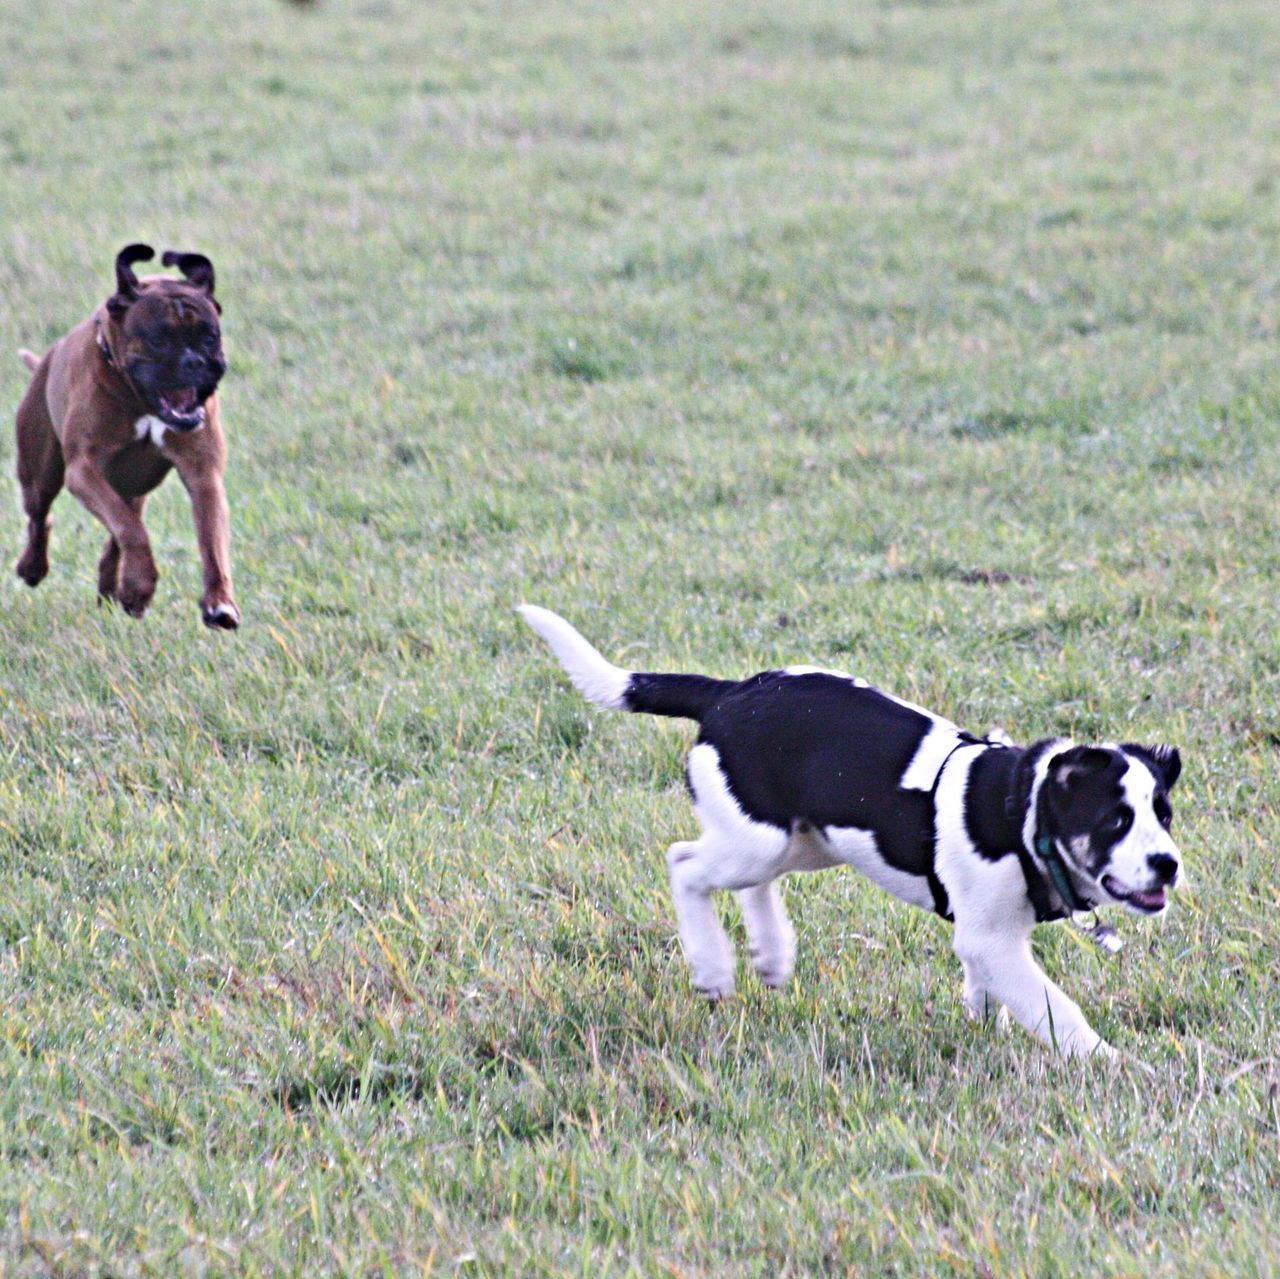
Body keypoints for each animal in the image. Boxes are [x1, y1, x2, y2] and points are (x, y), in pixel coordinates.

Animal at [14, 241, 240, 627]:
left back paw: (114, 591)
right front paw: (139, 585)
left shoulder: (204, 476)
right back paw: (33, 567)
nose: (195, 361)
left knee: (119, 529)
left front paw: (219, 603)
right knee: (41, 517)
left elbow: (211, 542)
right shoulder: (83, 471)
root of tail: (47, 358)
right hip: (40, 474)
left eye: (210, 337)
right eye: (159, 340)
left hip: (135, 485)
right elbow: (131, 530)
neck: (141, 401)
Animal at [517, 606, 1177, 1060]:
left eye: (1164, 815)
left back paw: (772, 956)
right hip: (757, 840)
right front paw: (1110, 1063)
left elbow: (991, 993)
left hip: (805, 841)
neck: (1024, 811)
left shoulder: (988, 939)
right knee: (684, 862)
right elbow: (1054, 1007)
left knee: (752, 883)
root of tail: (728, 693)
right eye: (1115, 820)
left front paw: (982, 1023)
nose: (1168, 865)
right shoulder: (991, 939)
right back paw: (713, 969)